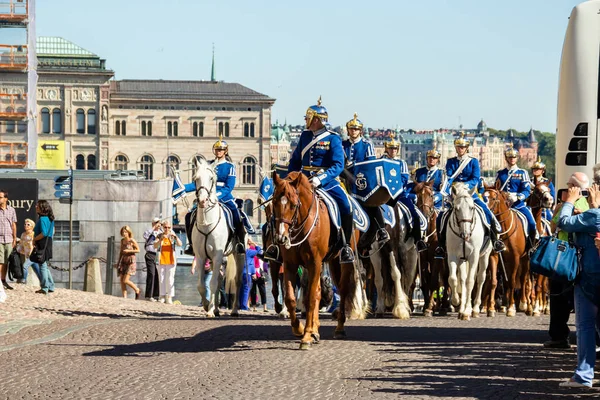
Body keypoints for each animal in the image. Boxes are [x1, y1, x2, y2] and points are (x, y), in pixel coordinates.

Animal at [195, 158, 246, 318]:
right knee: (218, 280)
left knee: (237, 281)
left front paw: (209, 310)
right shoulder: (201, 256)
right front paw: (207, 306)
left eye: (212, 178)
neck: (207, 223)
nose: (203, 201)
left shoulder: (217, 255)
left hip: (238, 254)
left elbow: (211, 284)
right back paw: (216, 309)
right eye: (196, 178)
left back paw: (234, 310)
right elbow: (202, 285)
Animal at [272, 172, 366, 350]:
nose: (282, 238)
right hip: (328, 263)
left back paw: (339, 328)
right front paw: (300, 329)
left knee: (342, 290)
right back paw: (315, 329)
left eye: (293, 205)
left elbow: (309, 298)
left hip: (341, 262)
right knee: (318, 291)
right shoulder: (290, 264)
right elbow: (291, 298)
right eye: (274, 202)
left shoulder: (314, 262)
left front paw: (307, 336)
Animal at [414, 180, 448, 316]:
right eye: (417, 196)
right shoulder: (422, 258)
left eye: (431, 195)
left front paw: (429, 307)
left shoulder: (436, 258)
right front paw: (428, 306)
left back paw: (444, 306)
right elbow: (425, 282)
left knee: (446, 279)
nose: (424, 214)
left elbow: (434, 281)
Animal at [448, 183, 490, 320]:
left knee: (480, 278)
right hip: (462, 259)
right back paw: (461, 308)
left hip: (485, 256)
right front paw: (456, 301)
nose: (465, 234)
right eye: (456, 209)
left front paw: (467, 311)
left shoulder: (474, 256)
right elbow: (453, 279)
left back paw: (474, 309)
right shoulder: (452, 255)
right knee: (462, 279)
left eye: (471, 208)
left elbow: (471, 281)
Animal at [480, 186, 532, 318]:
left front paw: (511, 309)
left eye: (493, 198)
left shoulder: (515, 258)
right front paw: (491, 309)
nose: (486, 212)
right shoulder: (494, 257)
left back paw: (525, 305)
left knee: (524, 280)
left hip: (525, 260)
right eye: (483, 197)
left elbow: (513, 282)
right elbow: (494, 281)